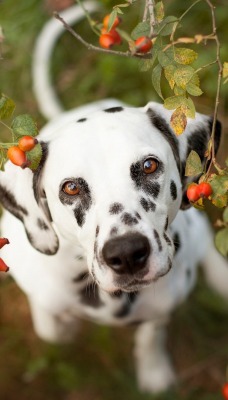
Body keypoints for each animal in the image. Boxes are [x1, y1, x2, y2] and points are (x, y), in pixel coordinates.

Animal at [0, 1, 227, 392]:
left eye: (149, 166)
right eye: (71, 187)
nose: (126, 254)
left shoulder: (163, 305)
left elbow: (151, 333)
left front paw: (153, 370)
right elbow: (51, 327)